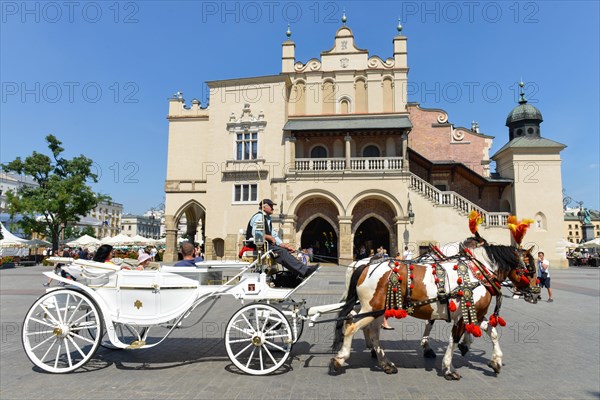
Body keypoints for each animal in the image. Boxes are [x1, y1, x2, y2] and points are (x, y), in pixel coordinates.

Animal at [330, 244, 536, 378]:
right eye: (531, 269)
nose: (536, 293)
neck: (476, 273)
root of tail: (365, 266)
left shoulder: (476, 314)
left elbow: (492, 333)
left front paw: (496, 361)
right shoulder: (463, 315)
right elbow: (453, 340)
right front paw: (449, 368)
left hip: (377, 310)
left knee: (371, 332)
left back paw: (385, 363)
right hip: (371, 308)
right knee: (351, 325)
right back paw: (340, 359)